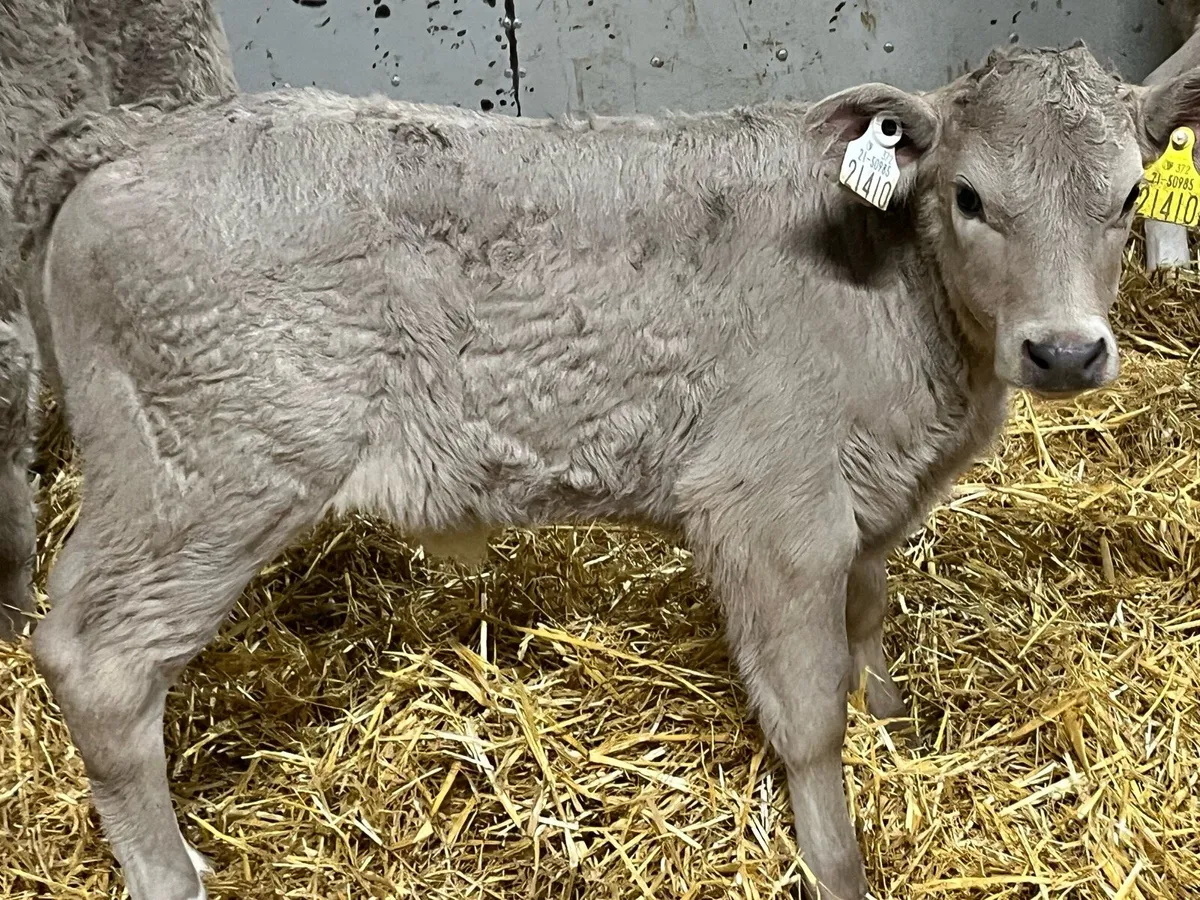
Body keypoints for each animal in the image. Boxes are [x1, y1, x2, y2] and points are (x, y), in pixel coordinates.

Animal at [15, 42, 1200, 900]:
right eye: (968, 196)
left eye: (1129, 193)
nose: (1064, 351)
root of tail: (139, 134)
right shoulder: (772, 514)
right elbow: (809, 714)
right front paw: (839, 867)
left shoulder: (867, 502)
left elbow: (867, 624)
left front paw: (899, 727)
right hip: (203, 476)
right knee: (96, 660)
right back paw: (170, 874)